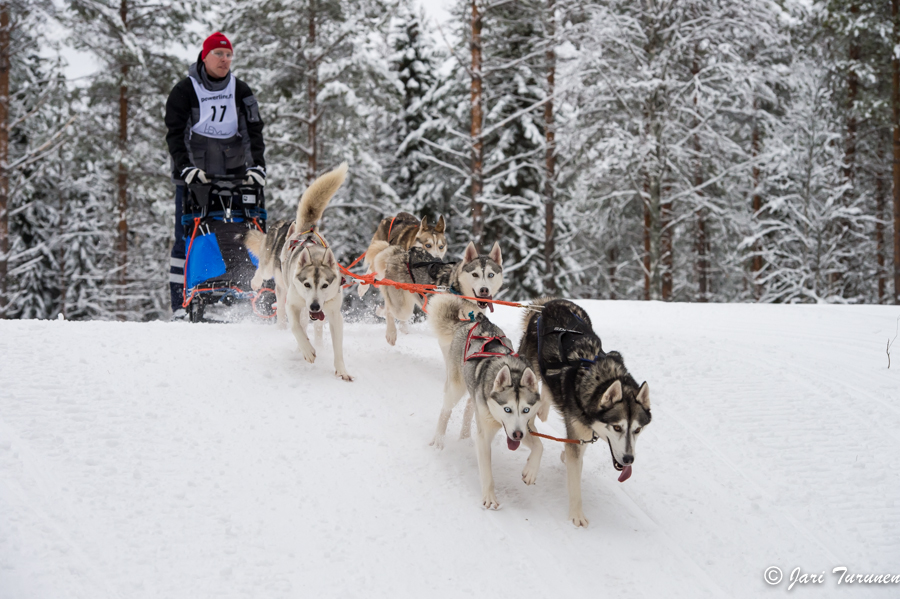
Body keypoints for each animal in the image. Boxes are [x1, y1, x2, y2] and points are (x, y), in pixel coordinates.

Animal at [244, 162, 354, 382]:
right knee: (262, 270)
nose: (314, 305)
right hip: (270, 269)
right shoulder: (292, 304)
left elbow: (337, 346)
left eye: (325, 285)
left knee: (314, 326)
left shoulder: (334, 314)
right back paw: (255, 282)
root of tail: (307, 231)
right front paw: (307, 351)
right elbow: (295, 327)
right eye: (307, 284)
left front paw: (342, 370)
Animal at [370, 241, 502, 346]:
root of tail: (401, 252)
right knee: (390, 310)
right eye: (475, 274)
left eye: (491, 275)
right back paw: (391, 333)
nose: (484, 290)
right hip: (402, 308)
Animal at [428, 296, 540, 510]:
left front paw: (530, 472)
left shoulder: (525, 426)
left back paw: (464, 436)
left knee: (468, 408)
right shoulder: (486, 436)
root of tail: (473, 321)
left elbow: (539, 445)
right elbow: (487, 472)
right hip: (456, 388)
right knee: (445, 410)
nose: (517, 435)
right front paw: (489, 497)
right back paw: (438, 439)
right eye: (507, 409)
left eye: (525, 409)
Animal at [516, 298, 652, 528]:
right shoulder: (577, 433)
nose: (628, 459)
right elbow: (575, 484)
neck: (600, 381)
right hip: (530, 371)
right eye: (617, 427)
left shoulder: (583, 433)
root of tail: (549, 303)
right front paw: (577, 515)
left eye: (637, 430)